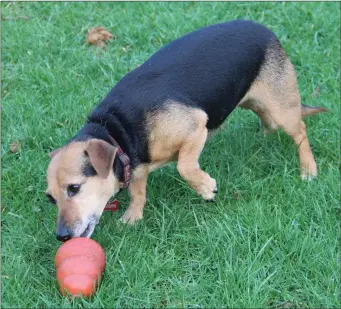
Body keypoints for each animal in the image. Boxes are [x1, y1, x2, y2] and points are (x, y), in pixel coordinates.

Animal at [44, 19, 324, 241]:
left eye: (74, 188)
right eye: (50, 199)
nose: (61, 236)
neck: (116, 129)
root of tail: (263, 28)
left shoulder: (196, 126)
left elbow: (184, 166)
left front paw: (206, 188)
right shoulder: (137, 166)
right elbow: (138, 192)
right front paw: (133, 216)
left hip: (282, 107)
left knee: (300, 130)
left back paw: (308, 168)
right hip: (249, 99)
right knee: (268, 120)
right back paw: (265, 140)